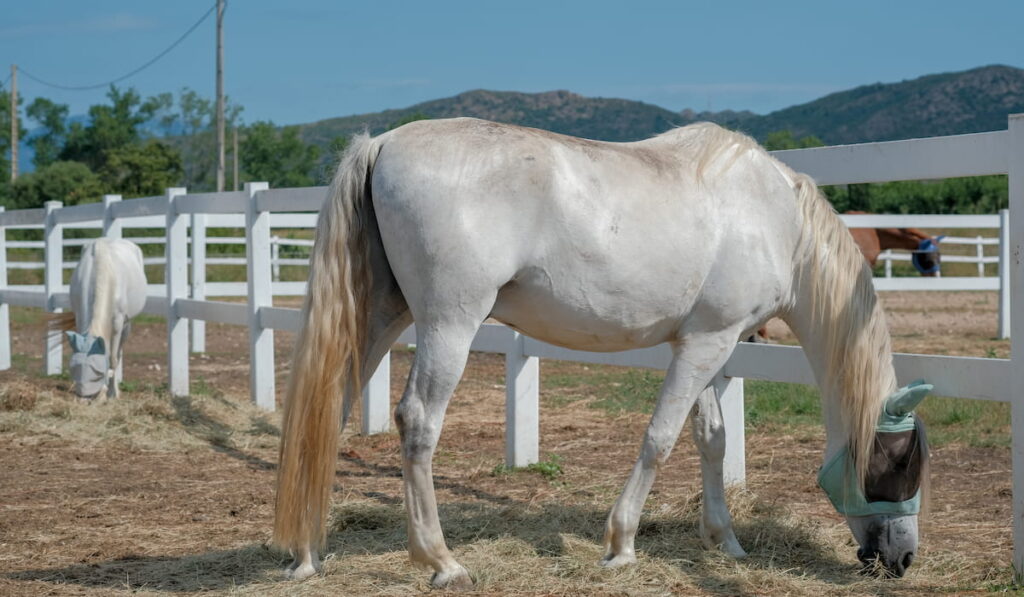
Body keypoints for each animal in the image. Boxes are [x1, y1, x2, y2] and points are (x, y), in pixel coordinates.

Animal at [50, 238, 147, 401]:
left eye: (97, 375)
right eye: (74, 371)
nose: (86, 398)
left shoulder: (118, 323)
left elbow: (113, 359)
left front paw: (111, 394)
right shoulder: (80, 317)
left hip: (127, 325)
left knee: (118, 353)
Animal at [272, 119, 929, 585]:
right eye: (901, 463)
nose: (902, 558)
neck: (774, 220)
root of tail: (382, 144)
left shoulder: (708, 345)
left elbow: (711, 440)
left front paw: (725, 540)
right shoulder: (706, 344)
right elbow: (660, 439)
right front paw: (621, 544)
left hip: (382, 317)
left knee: (326, 411)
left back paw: (307, 553)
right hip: (448, 325)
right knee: (417, 423)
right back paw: (441, 561)